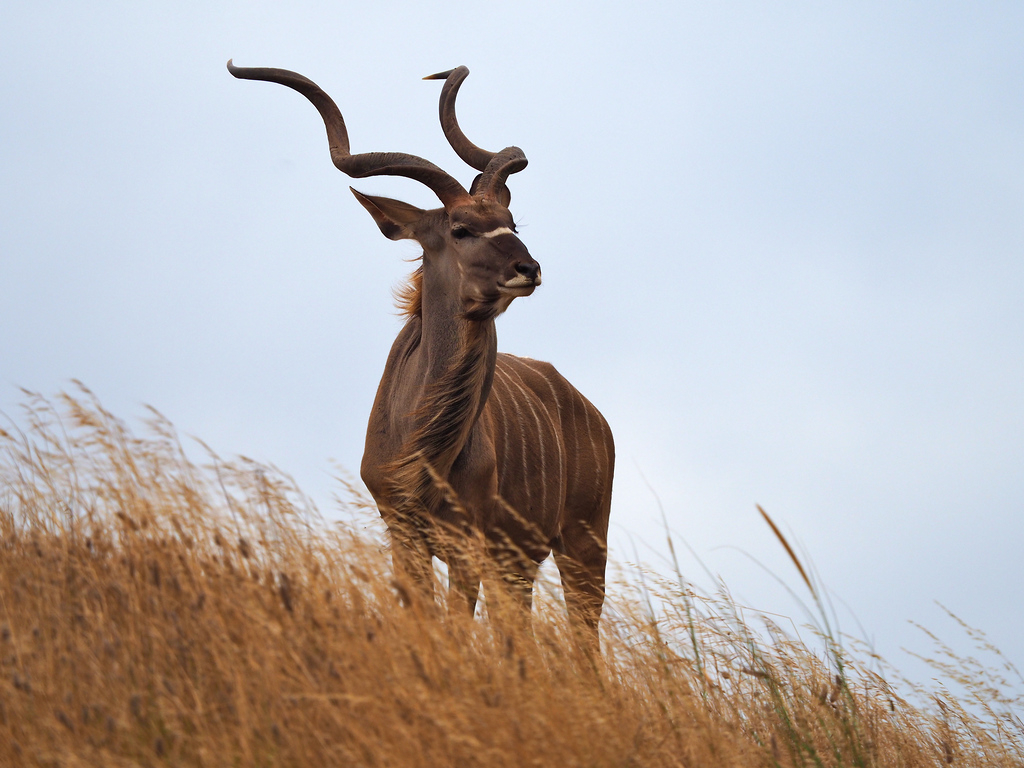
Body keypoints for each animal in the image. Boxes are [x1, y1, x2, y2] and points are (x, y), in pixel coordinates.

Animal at [230, 60, 614, 638]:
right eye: (460, 228)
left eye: (512, 224)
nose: (528, 268)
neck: (424, 448)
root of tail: (591, 411)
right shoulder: (402, 528)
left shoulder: (468, 540)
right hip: (521, 563)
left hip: (581, 546)